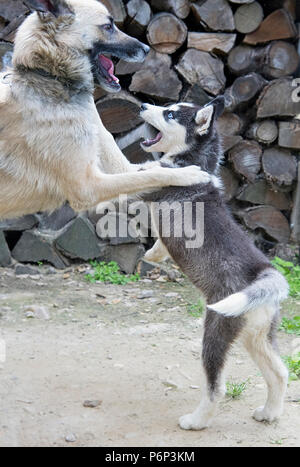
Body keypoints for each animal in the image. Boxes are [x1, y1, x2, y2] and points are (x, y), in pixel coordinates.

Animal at [0, 0, 206, 220]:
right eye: (107, 27)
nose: (146, 49)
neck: (49, 77)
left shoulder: (120, 168)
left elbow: (149, 171)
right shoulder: (87, 187)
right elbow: (154, 174)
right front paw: (188, 174)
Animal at [139, 98, 290, 432]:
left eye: (169, 113)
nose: (142, 104)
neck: (195, 161)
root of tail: (265, 273)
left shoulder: (148, 185)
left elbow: (130, 170)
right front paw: (154, 255)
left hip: (216, 330)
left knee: (216, 387)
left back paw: (196, 421)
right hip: (256, 336)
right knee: (280, 372)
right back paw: (270, 412)